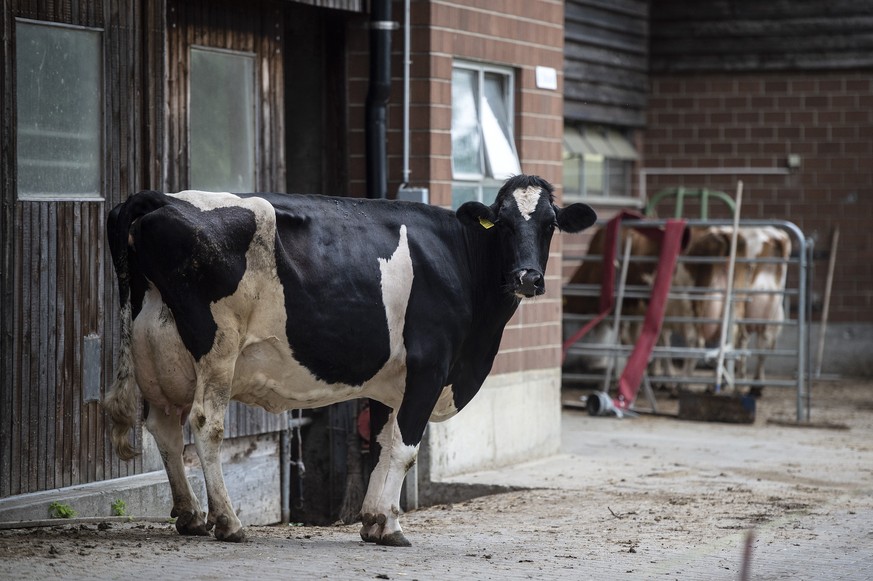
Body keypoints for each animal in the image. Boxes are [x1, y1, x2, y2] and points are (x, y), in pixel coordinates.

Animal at [100, 172, 592, 544]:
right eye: (503, 224)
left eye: (550, 225)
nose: (527, 277)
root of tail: (163, 197)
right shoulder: (430, 364)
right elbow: (405, 448)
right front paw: (389, 526)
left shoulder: (397, 379)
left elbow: (383, 443)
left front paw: (373, 519)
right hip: (216, 345)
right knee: (206, 423)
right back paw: (229, 521)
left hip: (156, 350)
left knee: (163, 426)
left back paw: (190, 515)